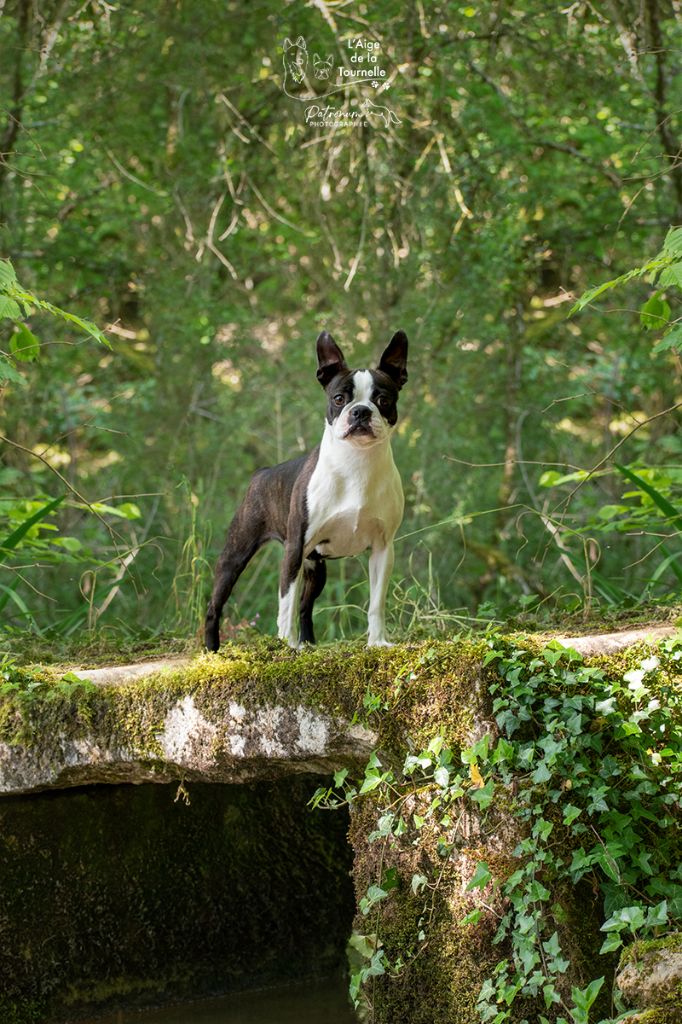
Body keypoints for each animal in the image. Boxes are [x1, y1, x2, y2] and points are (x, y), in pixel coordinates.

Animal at [204, 327, 405, 651]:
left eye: (383, 400)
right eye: (339, 398)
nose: (361, 411)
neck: (356, 463)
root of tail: (261, 473)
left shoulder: (382, 548)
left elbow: (376, 603)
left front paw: (377, 642)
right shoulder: (294, 549)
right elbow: (285, 603)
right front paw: (285, 645)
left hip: (316, 568)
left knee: (305, 607)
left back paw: (309, 643)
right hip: (236, 554)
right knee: (215, 605)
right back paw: (212, 649)